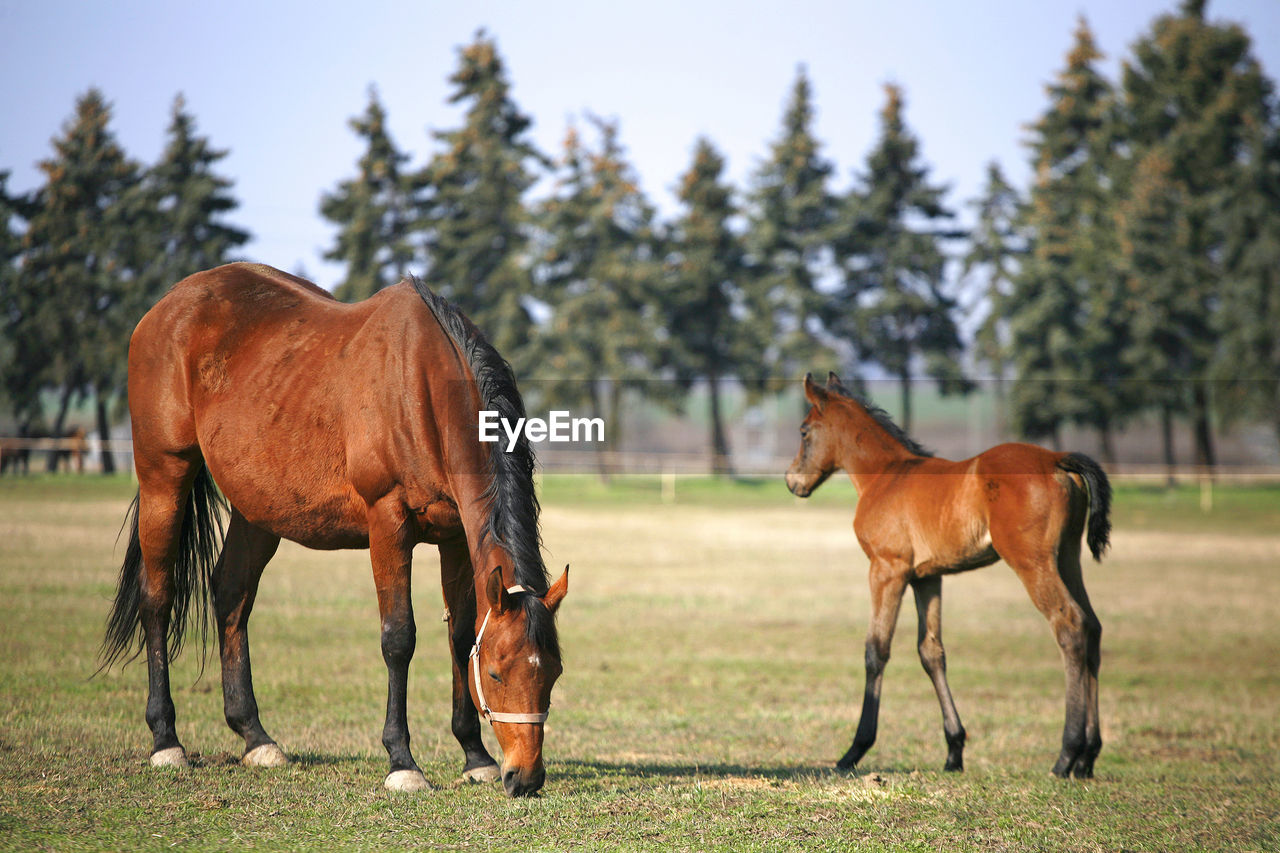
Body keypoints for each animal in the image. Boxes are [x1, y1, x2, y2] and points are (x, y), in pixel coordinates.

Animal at [104, 262, 570, 794]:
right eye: (494, 674)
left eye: (553, 673)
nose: (525, 777)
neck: (423, 386)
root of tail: (167, 306)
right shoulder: (388, 523)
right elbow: (398, 637)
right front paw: (402, 761)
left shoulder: (455, 536)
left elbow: (459, 635)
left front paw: (475, 756)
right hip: (164, 476)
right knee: (157, 598)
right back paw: (166, 741)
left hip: (257, 509)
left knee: (231, 593)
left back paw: (255, 737)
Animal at [783, 371, 1105, 778]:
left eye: (804, 430)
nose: (792, 481)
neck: (886, 477)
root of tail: (1057, 459)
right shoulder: (926, 578)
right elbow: (931, 652)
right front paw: (954, 751)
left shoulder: (887, 569)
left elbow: (876, 650)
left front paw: (853, 751)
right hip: (1067, 557)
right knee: (1093, 626)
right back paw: (1088, 757)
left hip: (1032, 562)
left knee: (1070, 625)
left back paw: (1067, 754)